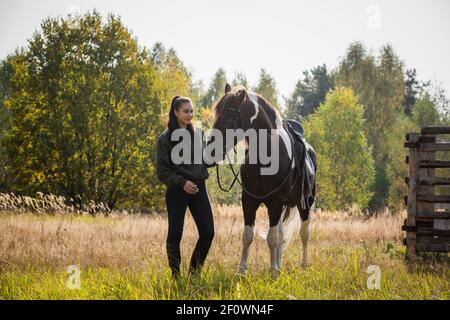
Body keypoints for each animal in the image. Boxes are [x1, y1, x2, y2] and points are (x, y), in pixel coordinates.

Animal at [210, 84, 316, 276]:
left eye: (227, 116)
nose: (210, 151)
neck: (267, 154)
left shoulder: (275, 202)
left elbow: (272, 238)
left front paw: (273, 272)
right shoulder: (249, 200)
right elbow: (248, 236)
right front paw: (242, 270)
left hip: (305, 203)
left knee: (304, 233)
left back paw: (303, 264)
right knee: (282, 234)